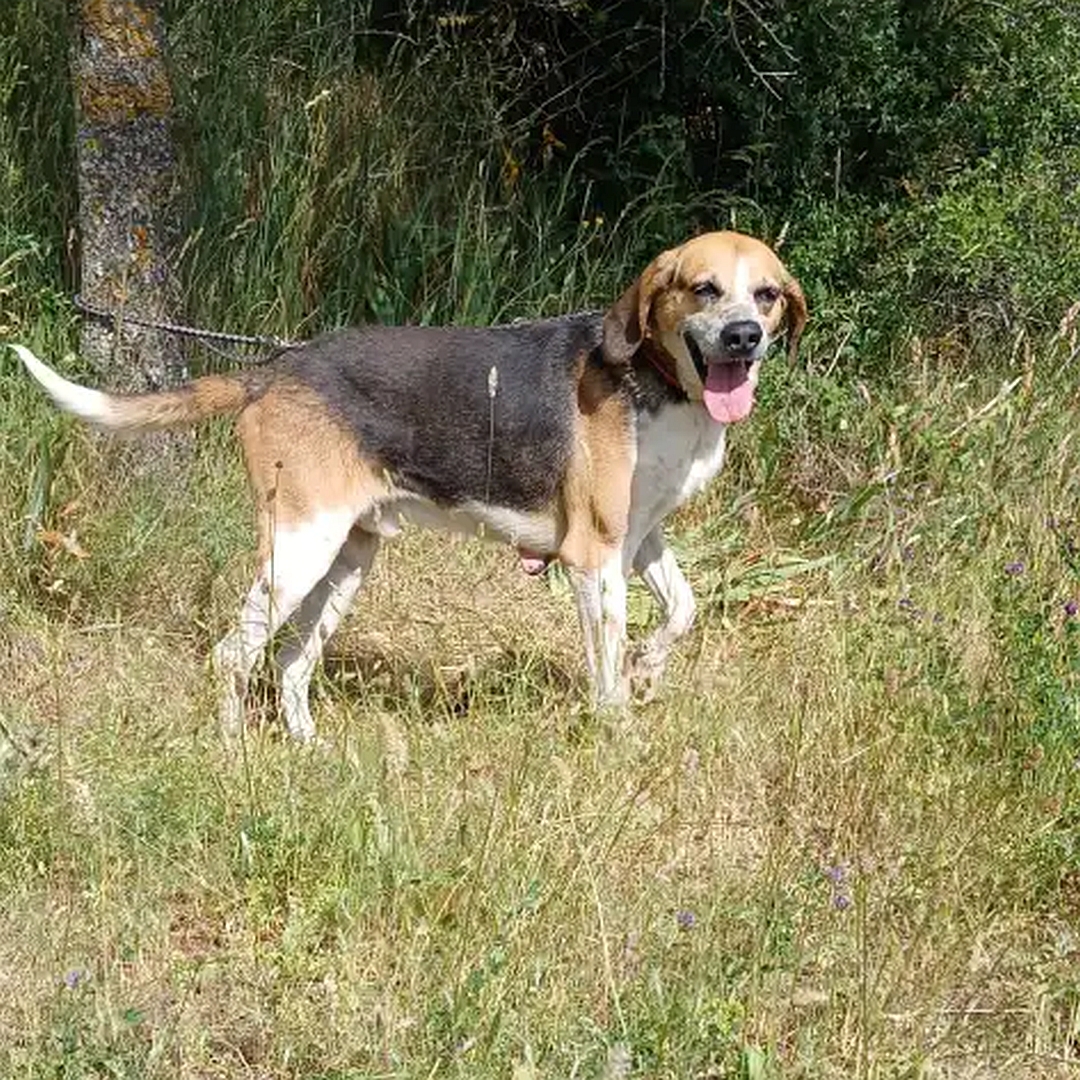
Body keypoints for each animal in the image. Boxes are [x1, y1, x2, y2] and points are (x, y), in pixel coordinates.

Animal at [8, 231, 803, 743]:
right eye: (704, 289)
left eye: (765, 296)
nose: (743, 337)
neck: (661, 386)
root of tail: (275, 369)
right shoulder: (591, 555)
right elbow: (605, 663)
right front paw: (617, 729)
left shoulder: (638, 539)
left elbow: (683, 610)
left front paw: (647, 668)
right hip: (300, 549)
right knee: (235, 657)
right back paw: (236, 758)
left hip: (347, 559)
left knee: (291, 664)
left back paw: (308, 751)